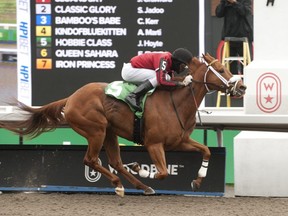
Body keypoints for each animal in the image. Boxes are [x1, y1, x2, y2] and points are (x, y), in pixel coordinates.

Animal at [1, 53, 246, 197]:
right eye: (221, 70)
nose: (242, 87)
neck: (176, 102)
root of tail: (71, 98)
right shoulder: (154, 144)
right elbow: (162, 172)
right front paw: (141, 167)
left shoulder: (180, 141)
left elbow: (206, 151)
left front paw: (198, 180)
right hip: (96, 130)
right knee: (91, 159)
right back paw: (120, 185)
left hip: (110, 132)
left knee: (115, 162)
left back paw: (140, 186)